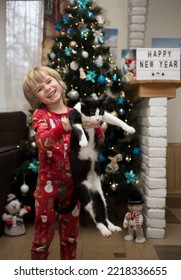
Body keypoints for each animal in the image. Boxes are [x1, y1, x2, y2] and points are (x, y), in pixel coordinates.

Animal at [67, 98, 135, 236]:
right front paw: (83, 141)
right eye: (92, 112)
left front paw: (130, 129)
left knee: (102, 212)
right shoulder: (74, 116)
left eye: (101, 111)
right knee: (95, 215)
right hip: (85, 194)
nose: (98, 119)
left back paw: (112, 227)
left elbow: (116, 119)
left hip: (100, 195)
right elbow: (79, 129)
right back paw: (104, 230)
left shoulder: (106, 115)